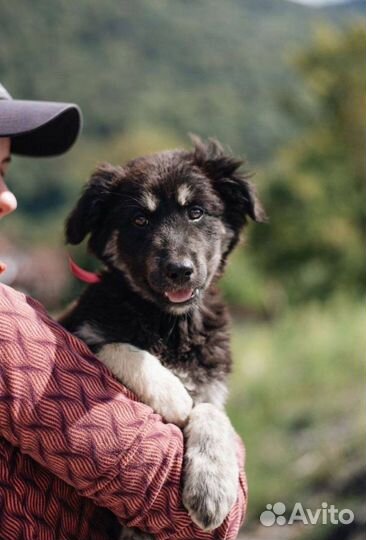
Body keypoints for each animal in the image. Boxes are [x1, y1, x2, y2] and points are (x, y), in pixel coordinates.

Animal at [60, 137, 266, 536]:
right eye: (139, 220)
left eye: (196, 212)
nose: (179, 271)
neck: (170, 324)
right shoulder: (81, 329)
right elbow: (120, 348)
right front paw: (173, 396)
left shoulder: (211, 384)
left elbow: (212, 412)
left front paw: (212, 484)